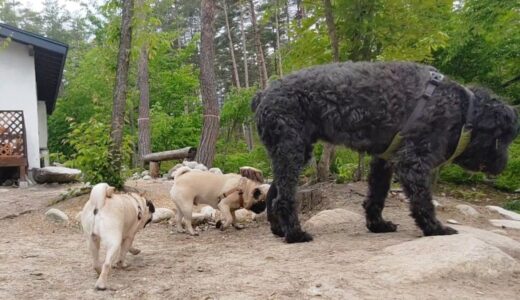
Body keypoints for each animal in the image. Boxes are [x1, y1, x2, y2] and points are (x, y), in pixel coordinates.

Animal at [251, 61, 516, 244]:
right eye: (503, 138)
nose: (504, 166)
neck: (462, 110)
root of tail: (263, 94)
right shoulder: (413, 163)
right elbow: (423, 201)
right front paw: (435, 229)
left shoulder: (384, 159)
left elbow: (376, 196)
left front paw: (377, 225)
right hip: (291, 150)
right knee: (284, 197)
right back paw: (295, 234)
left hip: (293, 152)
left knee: (273, 193)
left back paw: (279, 229)